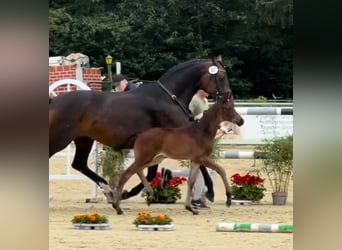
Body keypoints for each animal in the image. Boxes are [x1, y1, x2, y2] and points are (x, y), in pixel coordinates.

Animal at [49, 58, 232, 203]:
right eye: (221, 77)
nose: (229, 96)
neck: (170, 98)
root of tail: (53, 101)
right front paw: (210, 191)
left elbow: (150, 173)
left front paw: (128, 193)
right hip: (60, 139)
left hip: (84, 139)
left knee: (79, 164)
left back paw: (109, 190)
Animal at [111, 90, 243, 215]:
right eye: (228, 108)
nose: (241, 121)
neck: (202, 132)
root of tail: (140, 134)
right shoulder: (202, 158)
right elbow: (221, 170)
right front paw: (228, 200)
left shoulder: (195, 160)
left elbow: (191, 182)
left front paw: (190, 208)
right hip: (145, 158)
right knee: (127, 174)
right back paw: (118, 207)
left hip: (155, 158)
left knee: (138, 171)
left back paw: (150, 195)